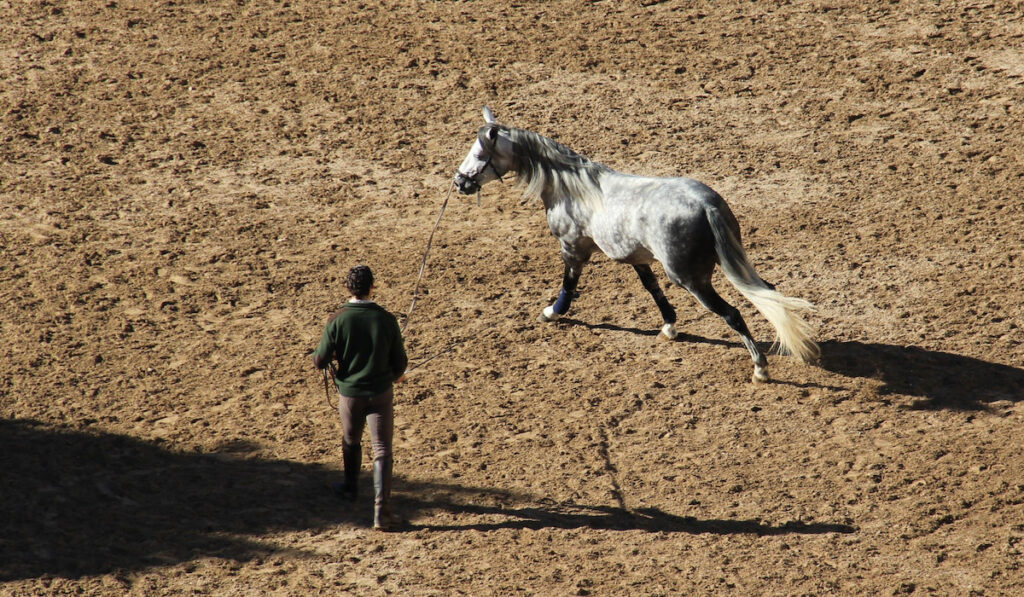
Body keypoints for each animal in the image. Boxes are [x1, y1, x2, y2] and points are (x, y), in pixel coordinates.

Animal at [452, 106, 819, 382]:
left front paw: (551, 313)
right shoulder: (636, 258)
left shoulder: (573, 248)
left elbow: (568, 284)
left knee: (733, 314)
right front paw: (669, 326)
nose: (459, 182)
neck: (572, 189)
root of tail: (706, 204)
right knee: (768, 292)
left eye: (479, 152)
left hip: (692, 280)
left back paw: (760, 369)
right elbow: (651, 288)